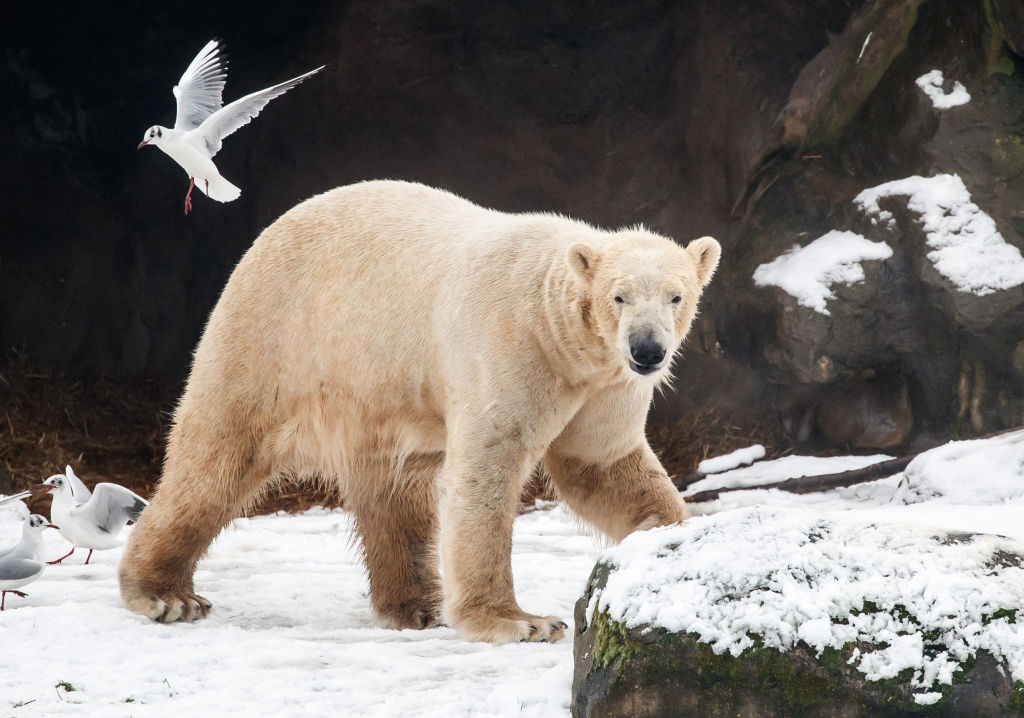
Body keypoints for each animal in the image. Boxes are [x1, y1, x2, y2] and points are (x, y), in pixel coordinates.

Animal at [118, 179, 720, 643]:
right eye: (619, 296)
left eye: (676, 295)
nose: (647, 350)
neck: (557, 325)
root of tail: (267, 234)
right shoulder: (512, 349)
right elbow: (485, 473)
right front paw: (520, 622)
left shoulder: (601, 384)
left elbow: (601, 463)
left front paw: (671, 541)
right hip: (275, 336)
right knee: (217, 458)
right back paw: (165, 595)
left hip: (377, 391)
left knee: (394, 488)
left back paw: (415, 606)